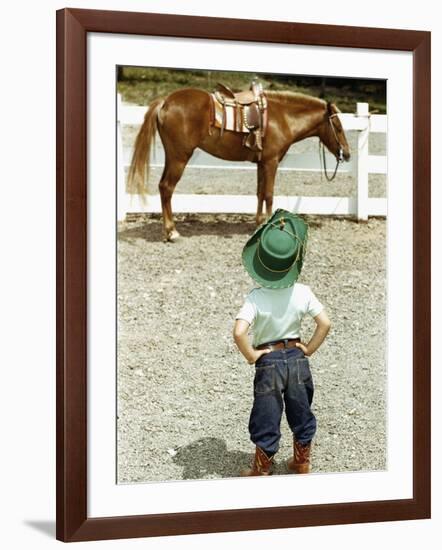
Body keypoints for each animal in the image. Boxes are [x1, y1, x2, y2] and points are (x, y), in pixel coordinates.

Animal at [127, 89, 348, 243]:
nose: (346, 153)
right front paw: (270, 225)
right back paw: (172, 232)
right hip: (179, 158)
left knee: (162, 187)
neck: (282, 118)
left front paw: (259, 223)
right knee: (167, 188)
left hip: (172, 157)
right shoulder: (271, 162)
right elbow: (269, 194)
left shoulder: (261, 163)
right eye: (337, 127)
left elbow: (260, 193)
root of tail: (165, 102)